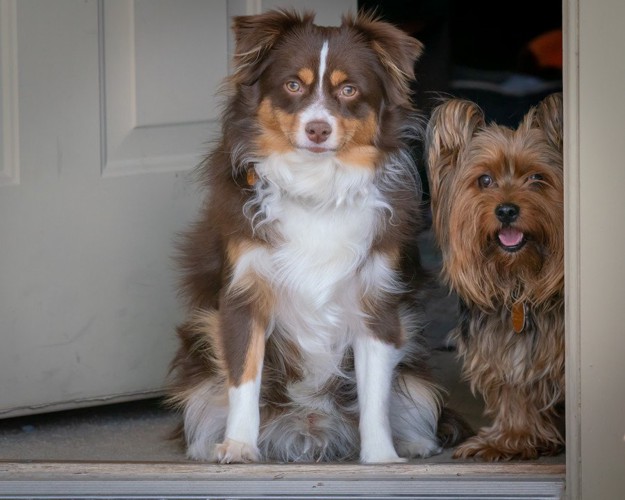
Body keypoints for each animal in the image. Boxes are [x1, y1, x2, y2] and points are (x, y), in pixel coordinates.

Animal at [166, 7, 464, 462]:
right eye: (292, 85)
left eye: (349, 90)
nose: (318, 129)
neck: (317, 185)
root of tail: (309, 428)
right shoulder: (243, 294)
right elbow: (243, 377)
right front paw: (238, 446)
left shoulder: (375, 299)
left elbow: (374, 393)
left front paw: (381, 457)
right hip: (199, 363)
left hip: (418, 375)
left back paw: (413, 443)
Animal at [424, 94, 564, 460]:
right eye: (484, 180)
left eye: (537, 178)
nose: (506, 210)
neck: (519, 280)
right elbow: (514, 385)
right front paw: (511, 439)